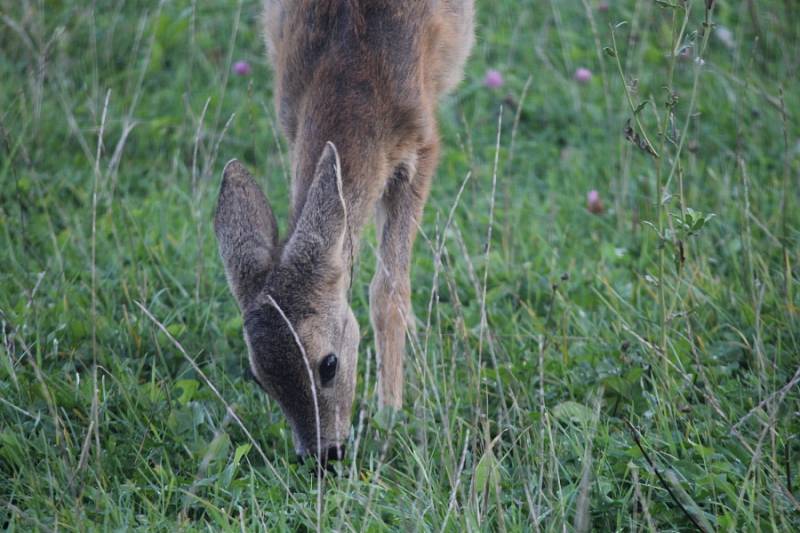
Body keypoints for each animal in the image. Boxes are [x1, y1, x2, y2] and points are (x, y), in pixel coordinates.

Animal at [214, 1, 476, 462]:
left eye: (329, 364)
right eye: (259, 377)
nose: (324, 456)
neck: (352, 72)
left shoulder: (423, 144)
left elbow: (388, 291)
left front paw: (390, 415)